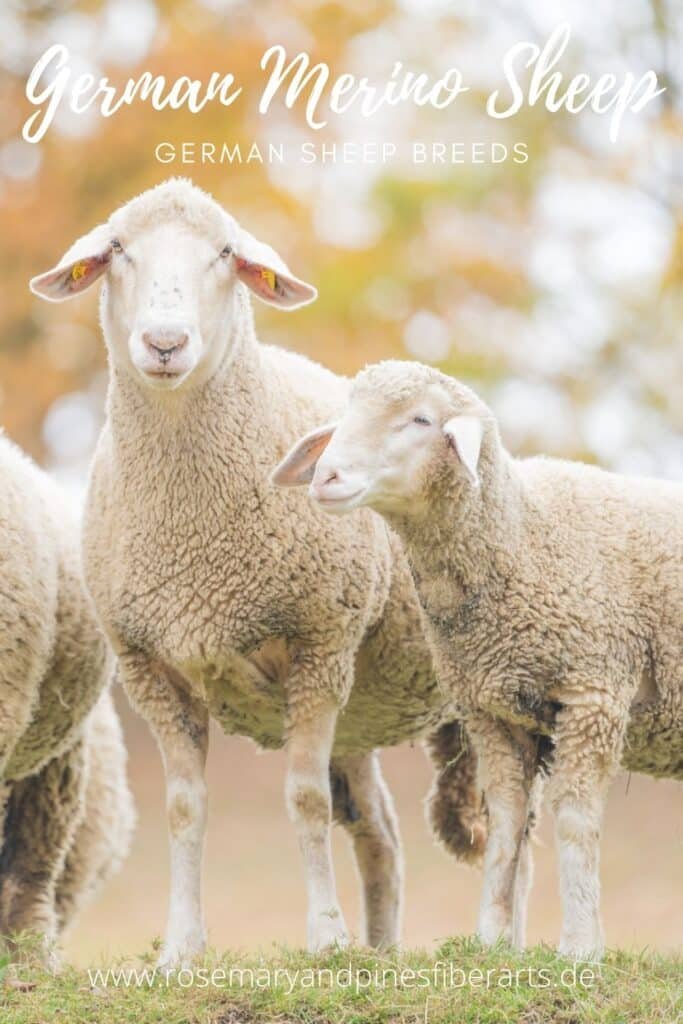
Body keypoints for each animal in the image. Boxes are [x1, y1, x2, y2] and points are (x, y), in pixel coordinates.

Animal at [28, 178, 485, 966]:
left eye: (224, 254)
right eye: (117, 249)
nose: (165, 343)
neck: (190, 529)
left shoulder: (317, 645)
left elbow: (303, 801)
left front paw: (324, 937)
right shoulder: (149, 667)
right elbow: (184, 808)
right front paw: (181, 948)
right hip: (358, 714)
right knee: (381, 833)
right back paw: (381, 951)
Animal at [272, 356, 683, 954]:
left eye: (421, 419)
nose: (326, 478)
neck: (525, 537)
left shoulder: (594, 693)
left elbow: (575, 820)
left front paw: (580, 946)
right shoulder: (492, 709)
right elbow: (507, 823)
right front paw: (490, 940)